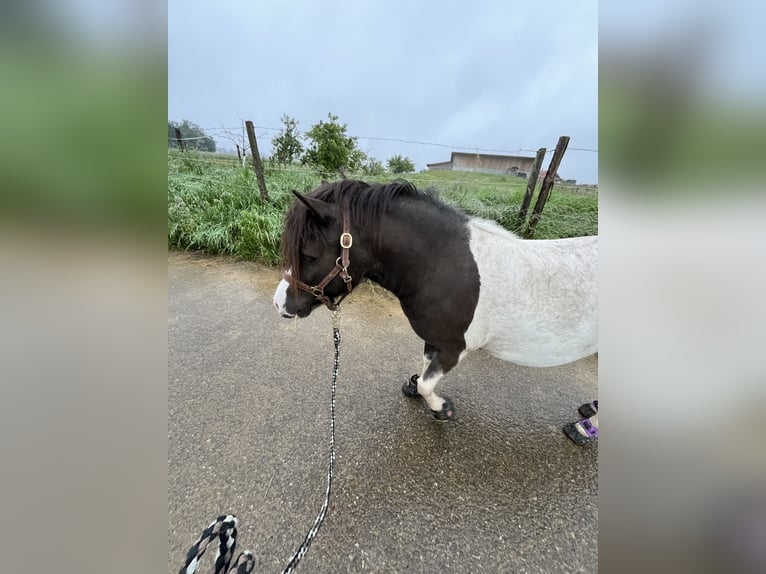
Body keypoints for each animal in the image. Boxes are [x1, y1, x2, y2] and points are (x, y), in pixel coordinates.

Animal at [272, 182, 596, 420]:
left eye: (308, 254)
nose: (278, 304)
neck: (441, 265)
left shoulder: (455, 348)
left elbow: (428, 384)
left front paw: (441, 408)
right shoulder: (434, 340)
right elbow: (425, 369)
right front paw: (415, 388)